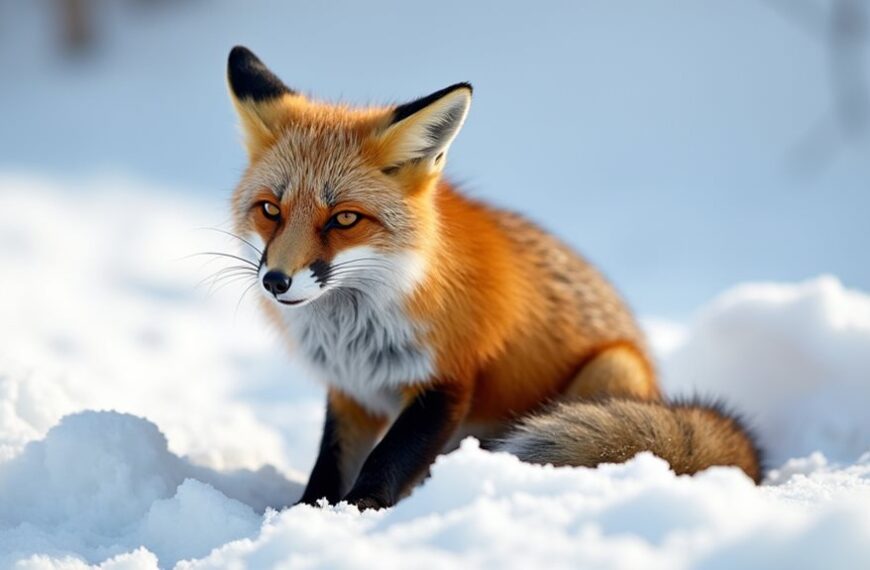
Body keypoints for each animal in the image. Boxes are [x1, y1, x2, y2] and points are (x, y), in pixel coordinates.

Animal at [225, 46, 762, 510]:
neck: (354, 332)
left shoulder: (449, 377)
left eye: (344, 219)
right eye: (270, 210)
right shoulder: (352, 393)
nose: (276, 281)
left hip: (612, 369)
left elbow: (386, 461)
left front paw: (362, 514)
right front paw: (305, 515)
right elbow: (330, 467)